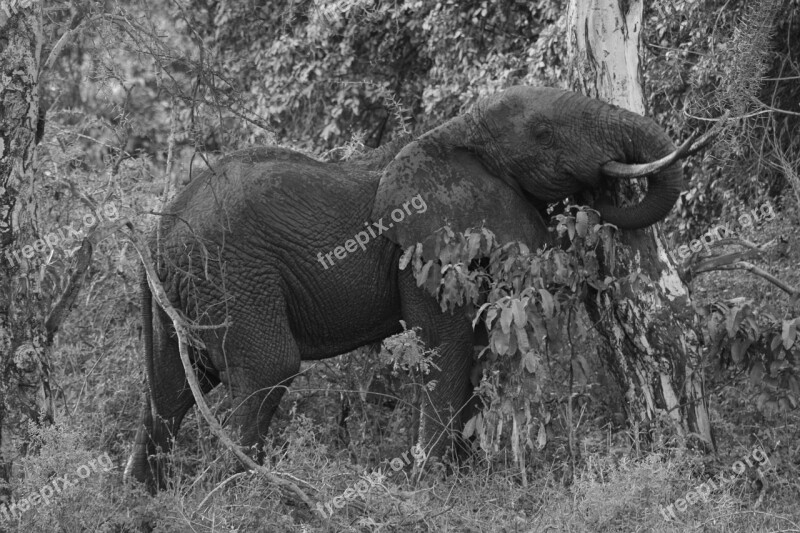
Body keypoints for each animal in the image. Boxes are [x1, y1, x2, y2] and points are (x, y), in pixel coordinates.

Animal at [126, 85, 688, 488]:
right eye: (543, 133)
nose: (596, 195)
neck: (457, 129)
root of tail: (159, 231)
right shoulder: (422, 247)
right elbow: (445, 346)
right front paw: (434, 485)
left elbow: (475, 348)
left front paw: (464, 477)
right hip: (231, 271)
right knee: (266, 367)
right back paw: (247, 494)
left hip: (182, 291)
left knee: (170, 387)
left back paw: (144, 497)